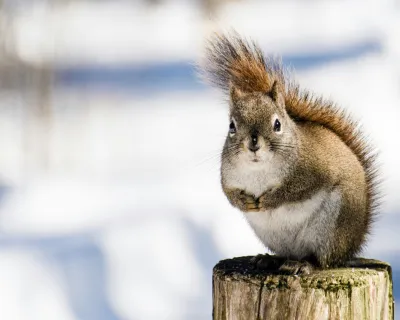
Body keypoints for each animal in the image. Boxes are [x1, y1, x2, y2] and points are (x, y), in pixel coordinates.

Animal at [202, 31, 380, 272]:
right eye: (232, 126)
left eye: (277, 124)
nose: (253, 143)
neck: (259, 170)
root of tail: (353, 243)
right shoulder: (228, 176)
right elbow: (228, 192)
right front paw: (243, 201)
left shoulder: (313, 171)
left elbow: (296, 190)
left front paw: (270, 200)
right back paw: (269, 259)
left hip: (332, 228)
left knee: (324, 259)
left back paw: (307, 264)